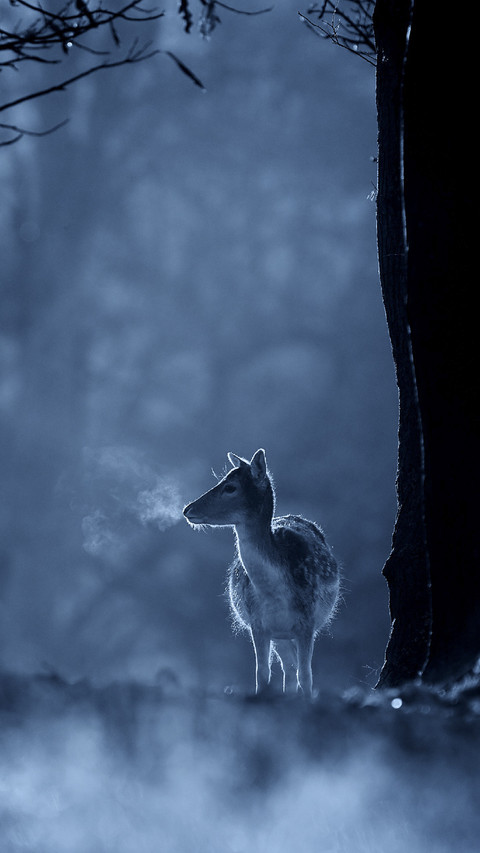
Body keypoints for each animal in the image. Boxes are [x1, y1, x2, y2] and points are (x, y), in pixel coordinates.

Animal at [183, 449, 340, 697]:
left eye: (231, 487)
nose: (187, 509)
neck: (275, 593)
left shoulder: (307, 623)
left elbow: (306, 676)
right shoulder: (258, 625)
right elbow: (262, 674)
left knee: (295, 669)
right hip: (279, 635)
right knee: (288, 668)